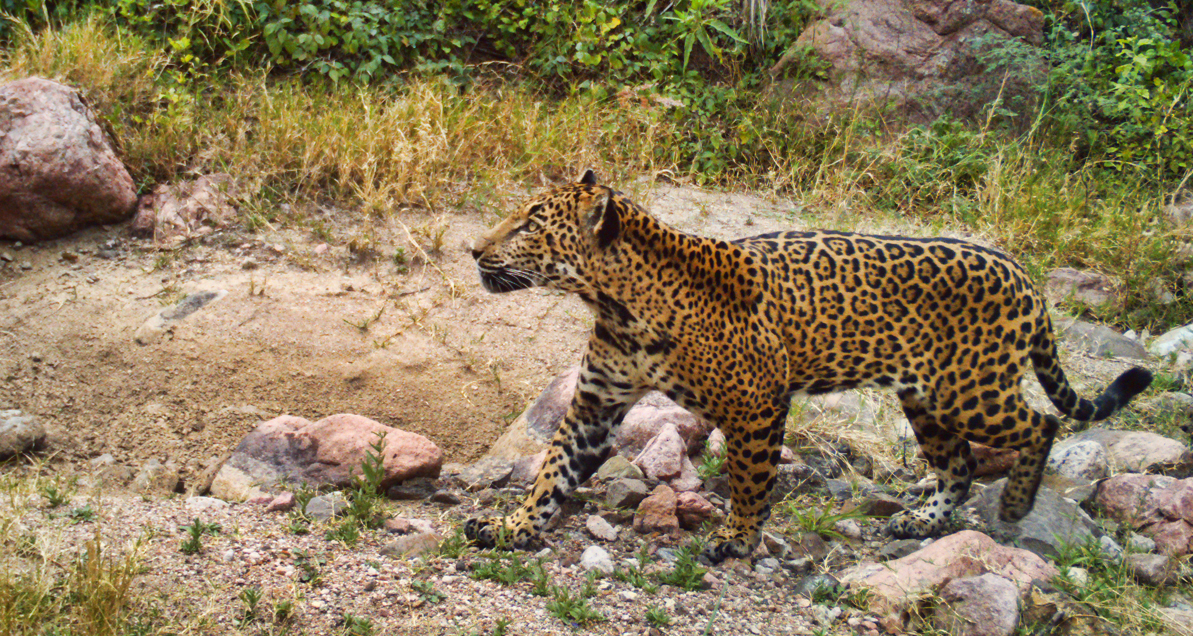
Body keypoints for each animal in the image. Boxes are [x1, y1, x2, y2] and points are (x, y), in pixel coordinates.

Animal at [464, 170, 1153, 564]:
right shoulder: (596, 403)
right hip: (925, 397)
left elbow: (750, 479)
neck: (620, 303)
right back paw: (921, 520)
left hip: (970, 389)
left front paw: (738, 540)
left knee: (1039, 424)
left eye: (528, 225)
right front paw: (513, 526)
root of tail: (1025, 277)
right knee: (957, 462)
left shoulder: (757, 405)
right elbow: (553, 471)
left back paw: (1013, 506)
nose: (472, 249)